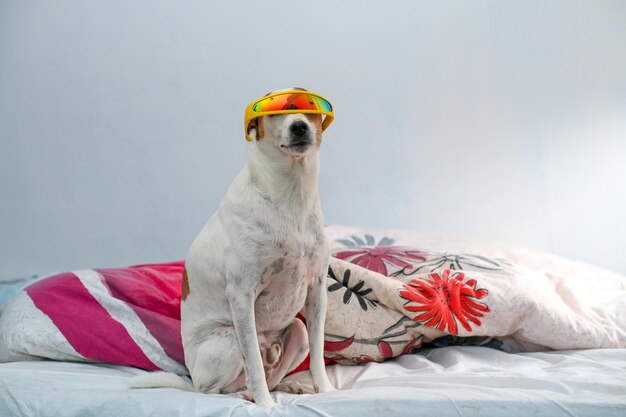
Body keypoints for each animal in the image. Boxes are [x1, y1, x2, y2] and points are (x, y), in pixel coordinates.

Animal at [132, 88, 334, 406]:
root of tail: (190, 377)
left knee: (273, 372)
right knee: (216, 389)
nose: (299, 126)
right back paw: (246, 394)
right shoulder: (241, 296)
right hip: (225, 343)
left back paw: (287, 386)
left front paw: (324, 391)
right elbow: (253, 362)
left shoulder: (316, 290)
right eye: (274, 112)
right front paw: (266, 405)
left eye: (310, 108)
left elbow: (318, 354)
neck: (291, 196)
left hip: (298, 331)